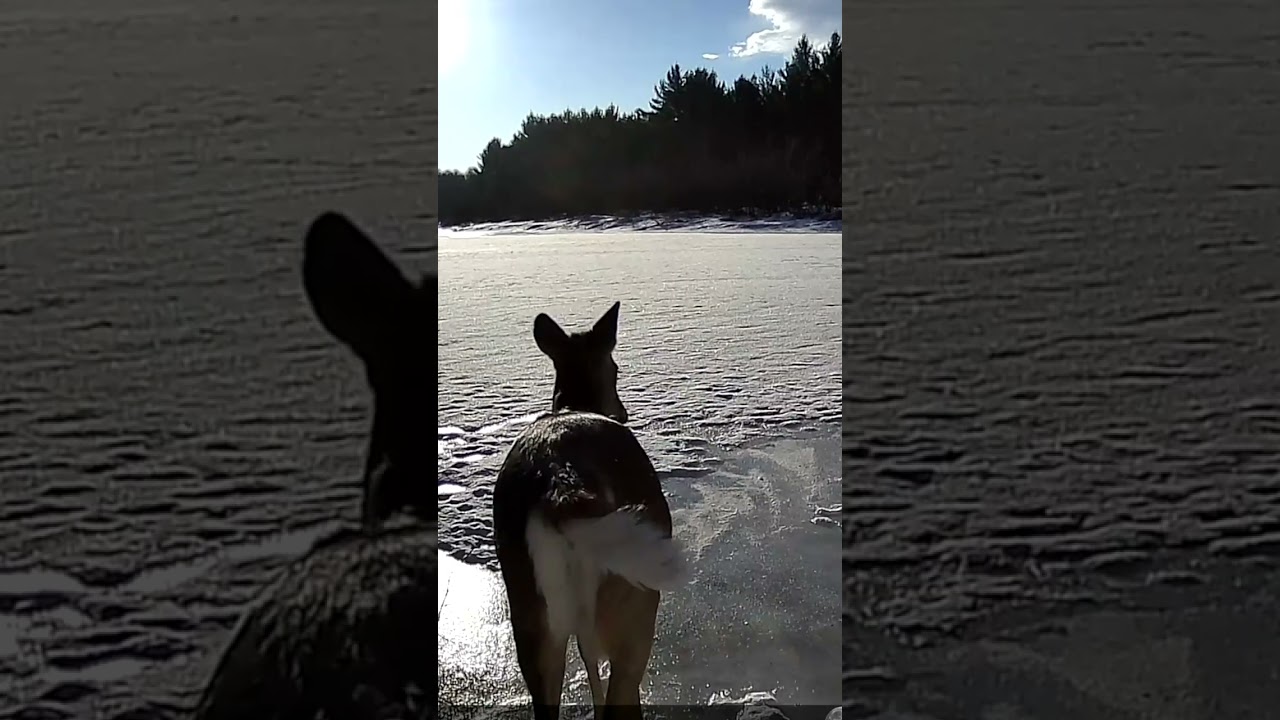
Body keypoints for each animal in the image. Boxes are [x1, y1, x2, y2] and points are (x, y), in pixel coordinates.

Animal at [493, 301, 687, 720]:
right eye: (615, 369)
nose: (624, 413)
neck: (575, 403)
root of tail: (559, 484)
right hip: (632, 609)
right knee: (620, 699)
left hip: (534, 623)